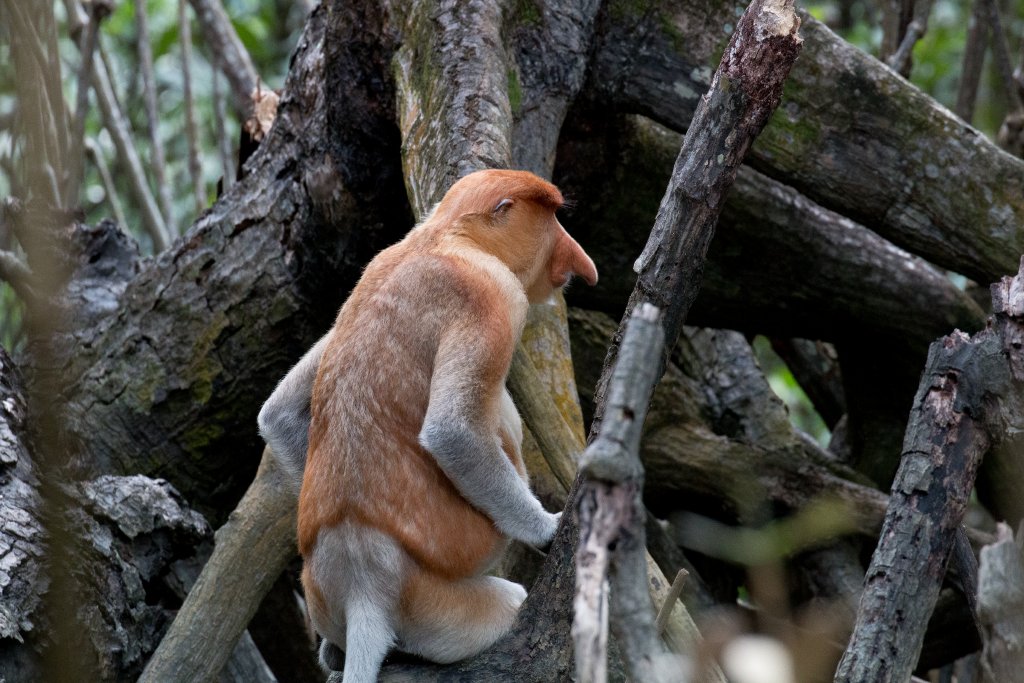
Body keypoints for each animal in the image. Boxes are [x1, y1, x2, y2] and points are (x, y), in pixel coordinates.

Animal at [258, 169, 598, 682]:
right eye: (553, 218)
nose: (578, 260)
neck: (444, 236)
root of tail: (362, 583)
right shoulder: (492, 296)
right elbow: (451, 431)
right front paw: (548, 530)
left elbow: (278, 411)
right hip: (434, 605)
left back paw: (335, 651)